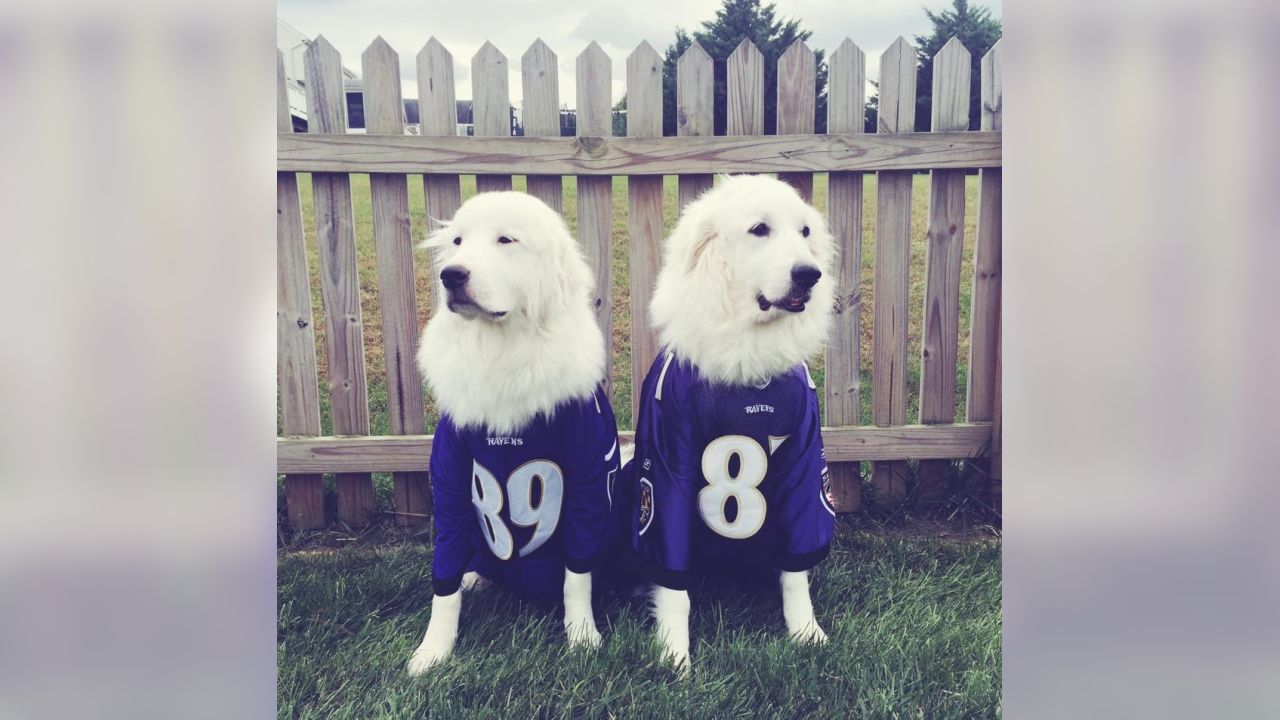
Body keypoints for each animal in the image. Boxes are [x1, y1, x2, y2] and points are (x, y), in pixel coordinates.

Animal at [401, 190, 616, 671]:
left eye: (506, 240)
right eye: (458, 241)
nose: (451, 274)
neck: (502, 349)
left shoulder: (588, 478)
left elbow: (578, 575)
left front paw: (581, 636)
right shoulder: (451, 476)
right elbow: (442, 585)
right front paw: (434, 650)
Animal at [622, 175, 839, 671]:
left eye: (804, 232)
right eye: (760, 229)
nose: (809, 275)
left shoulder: (804, 467)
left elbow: (797, 574)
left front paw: (806, 633)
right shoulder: (667, 472)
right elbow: (675, 586)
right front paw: (674, 653)